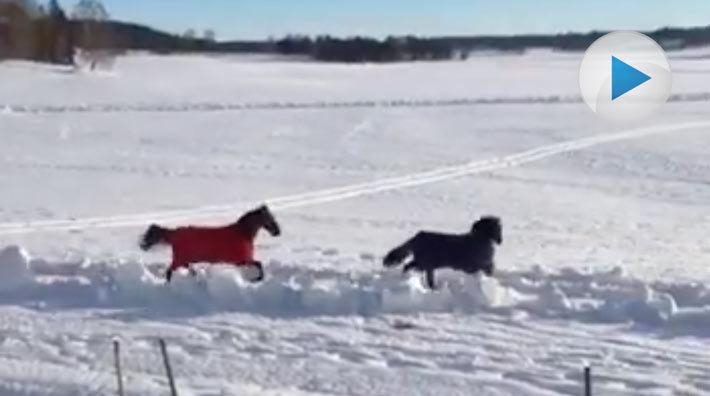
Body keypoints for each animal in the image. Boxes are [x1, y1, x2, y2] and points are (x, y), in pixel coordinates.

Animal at [140, 204, 282, 282]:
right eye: (270, 218)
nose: (277, 232)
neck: (243, 233)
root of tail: (174, 233)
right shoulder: (243, 260)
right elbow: (259, 265)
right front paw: (257, 279)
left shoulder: (241, 261)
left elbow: (259, 265)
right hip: (179, 260)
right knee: (169, 272)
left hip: (183, 260)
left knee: (186, 269)